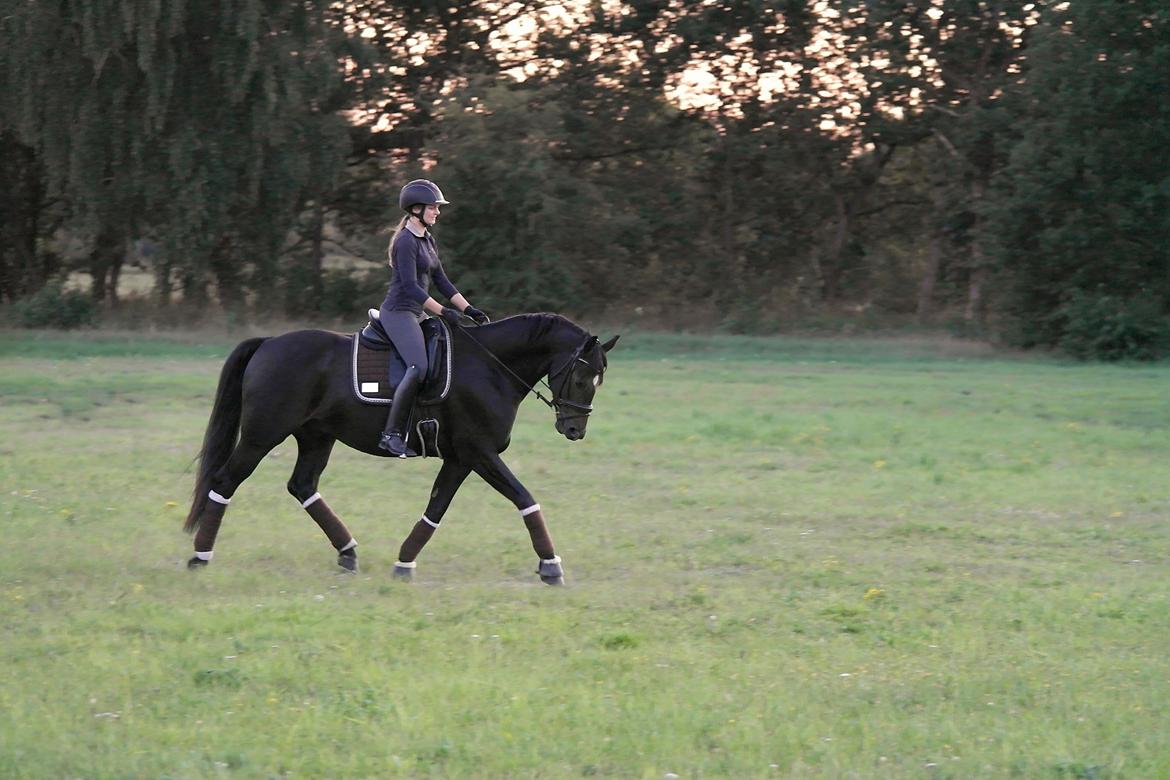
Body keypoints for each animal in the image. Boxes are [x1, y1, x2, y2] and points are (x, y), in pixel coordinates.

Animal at [181, 313, 617, 582]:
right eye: (583, 377)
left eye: (599, 380)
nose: (574, 429)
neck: (491, 367)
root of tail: (270, 343)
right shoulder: (480, 453)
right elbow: (524, 498)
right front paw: (550, 564)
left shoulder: (461, 458)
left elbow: (435, 509)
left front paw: (405, 562)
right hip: (262, 435)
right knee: (225, 481)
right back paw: (200, 557)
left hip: (316, 437)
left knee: (302, 486)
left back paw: (348, 552)